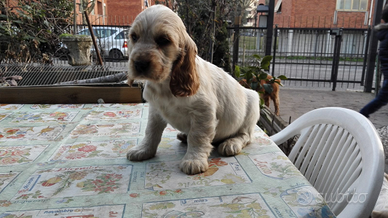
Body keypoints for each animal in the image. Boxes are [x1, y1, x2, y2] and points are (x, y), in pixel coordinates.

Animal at [127, 5, 260, 175]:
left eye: (163, 40)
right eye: (134, 37)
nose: (139, 64)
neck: (165, 84)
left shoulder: (203, 112)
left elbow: (197, 137)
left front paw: (193, 160)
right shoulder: (156, 111)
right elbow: (151, 132)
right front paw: (143, 150)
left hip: (252, 104)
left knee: (246, 135)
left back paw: (231, 143)